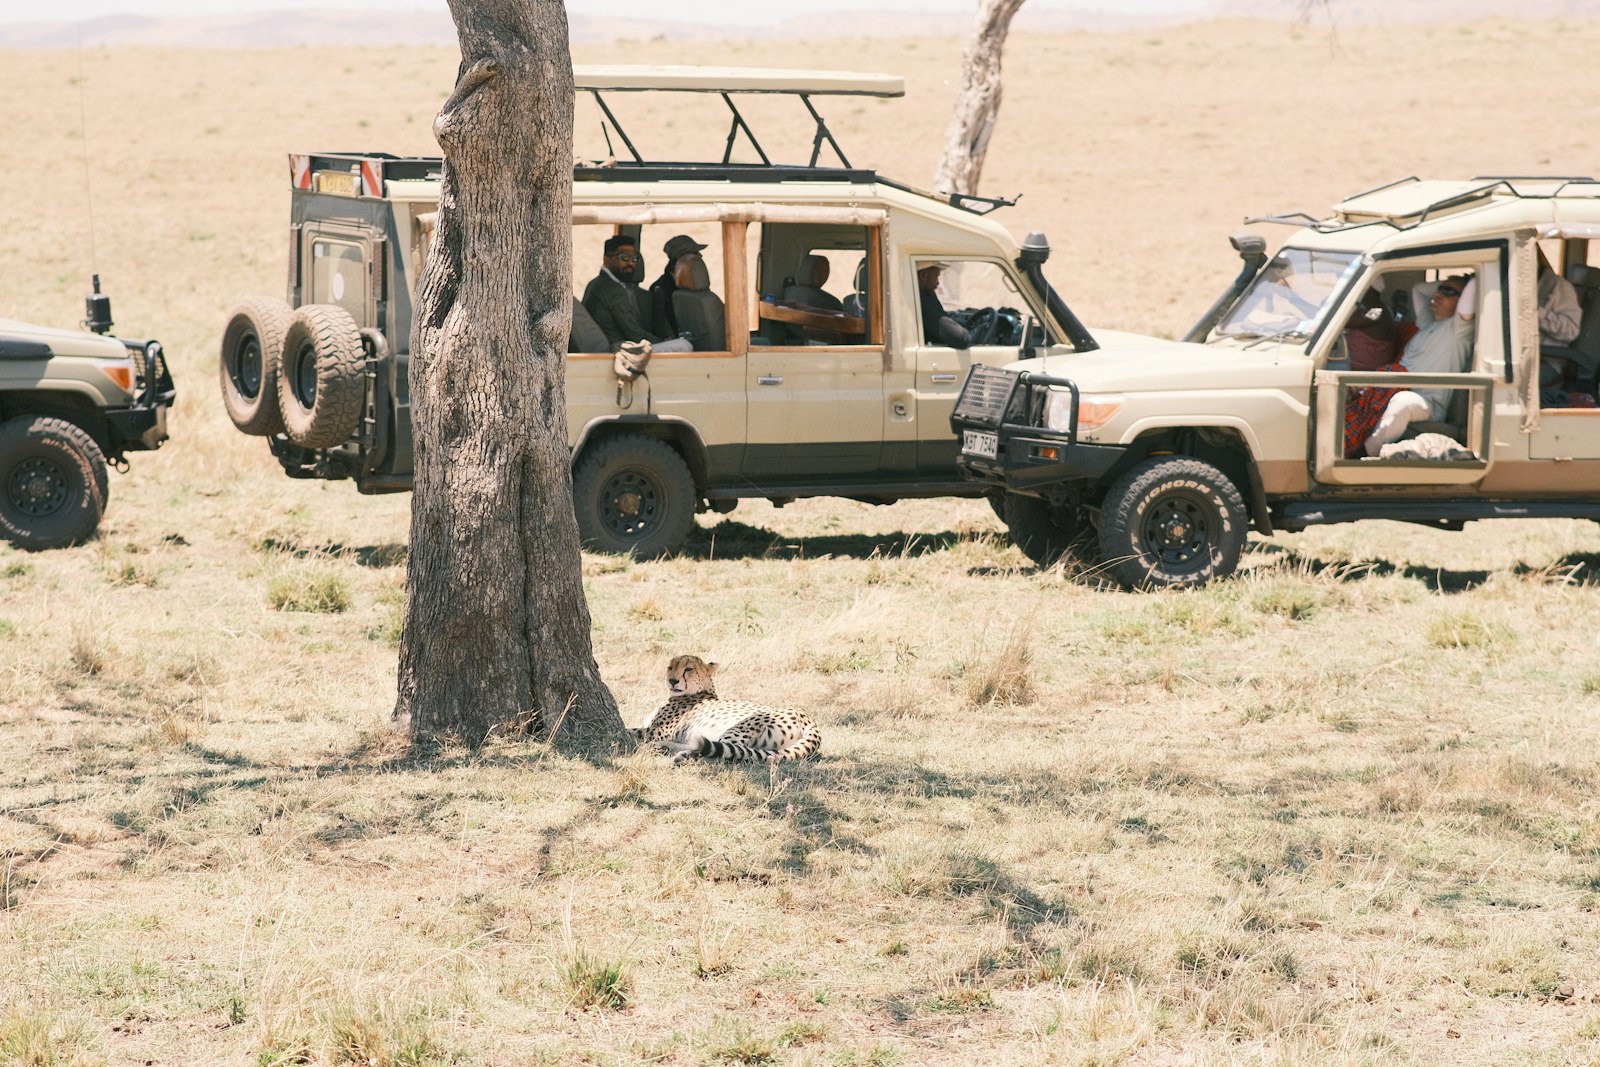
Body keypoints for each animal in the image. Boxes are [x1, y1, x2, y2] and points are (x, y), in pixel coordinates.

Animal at [629, 654, 822, 765]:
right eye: (670, 668)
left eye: (688, 669)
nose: (672, 681)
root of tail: (805, 715)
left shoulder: (658, 731)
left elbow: (631, 730)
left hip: (737, 729)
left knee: (715, 753)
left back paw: (674, 754)